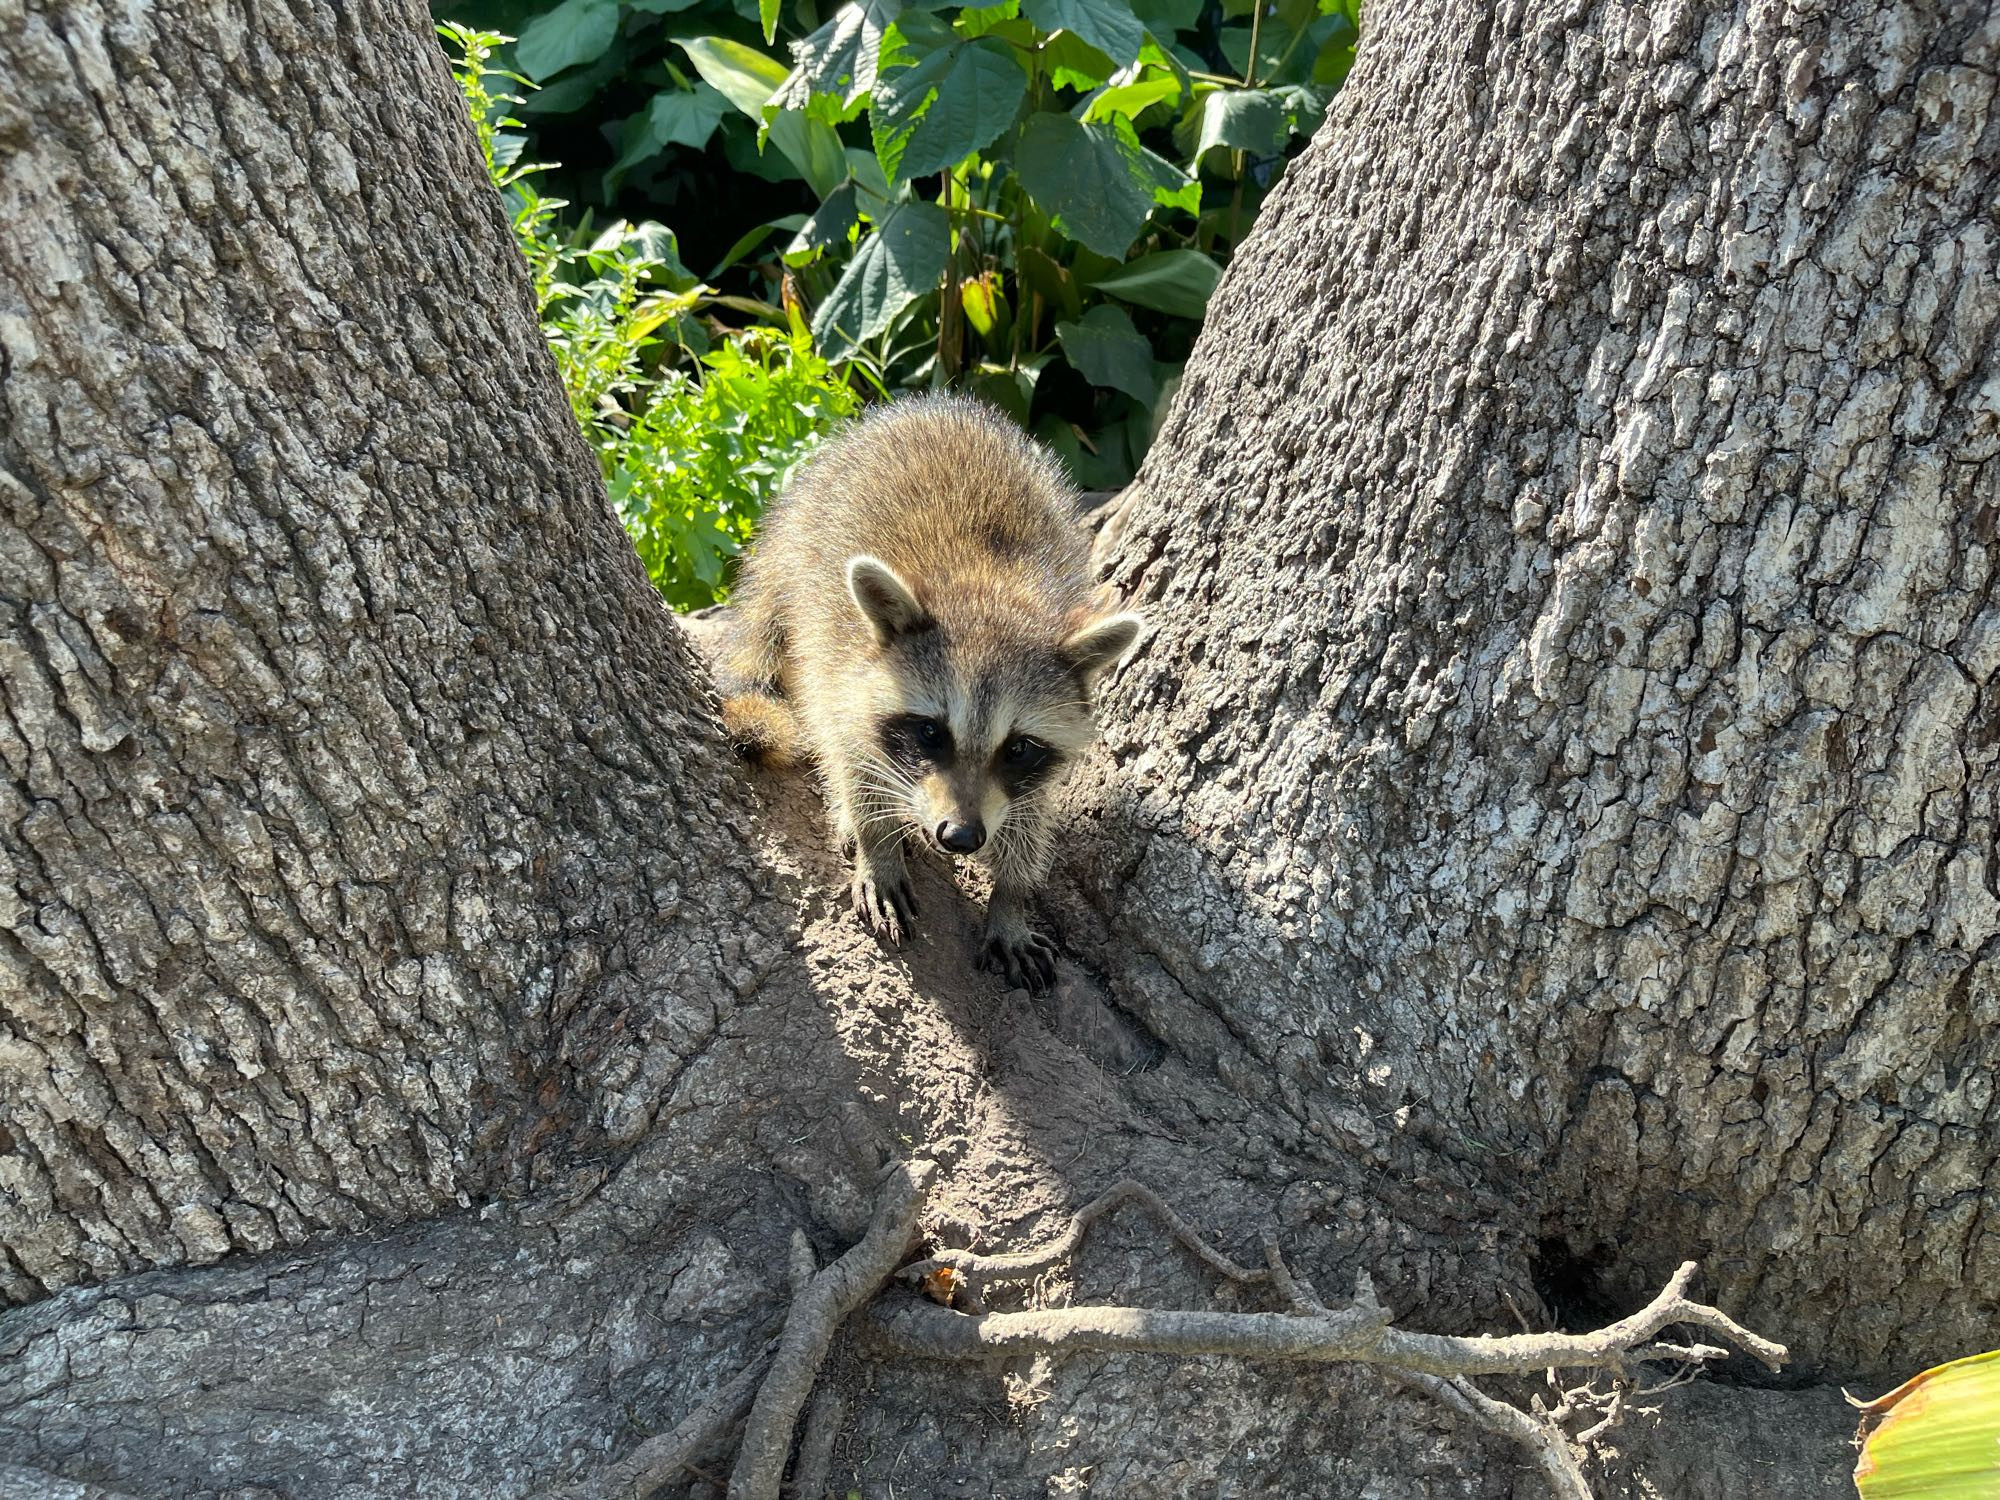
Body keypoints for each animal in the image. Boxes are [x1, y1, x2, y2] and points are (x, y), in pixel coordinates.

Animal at [728, 394, 1152, 992]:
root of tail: (932, 405)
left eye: (1018, 747)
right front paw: (875, 842)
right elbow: (848, 755)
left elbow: (1030, 816)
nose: (961, 837)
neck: (988, 588)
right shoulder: (841, 659)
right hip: (804, 553)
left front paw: (1011, 898)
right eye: (931, 732)